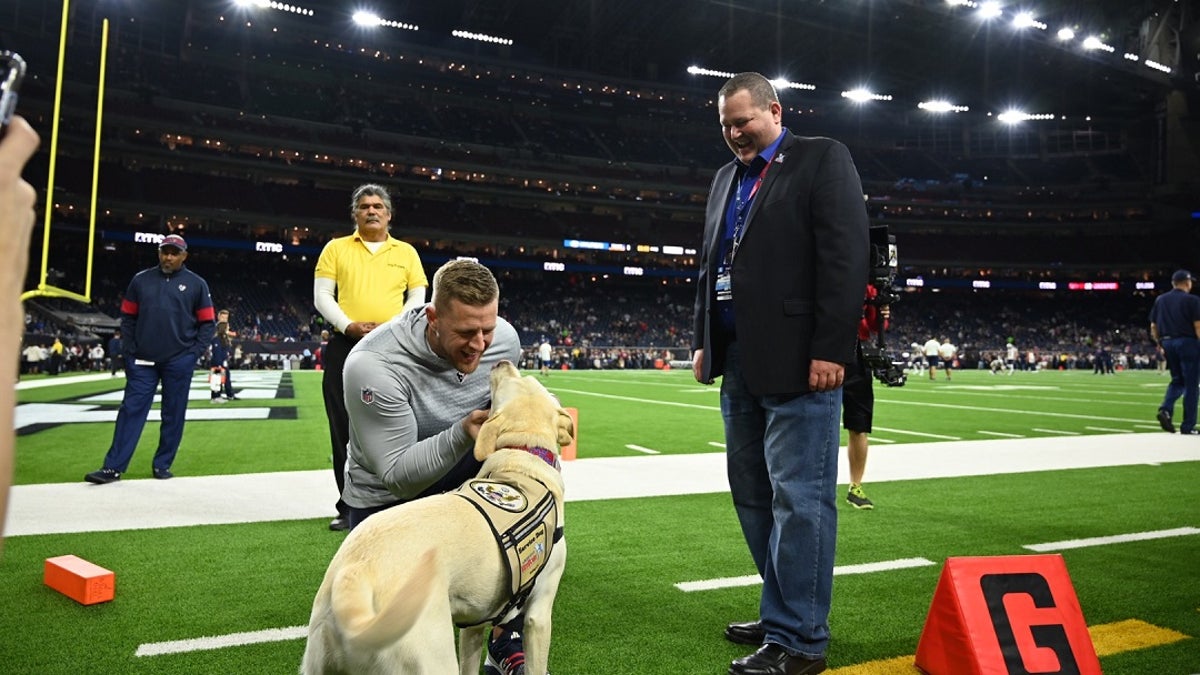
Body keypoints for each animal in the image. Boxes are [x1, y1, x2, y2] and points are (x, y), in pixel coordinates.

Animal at [298, 360, 571, 672]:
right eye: (527, 378)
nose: (502, 362)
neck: (521, 459)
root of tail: (355, 572)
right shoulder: (539, 613)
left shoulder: (474, 623)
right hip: (431, 656)